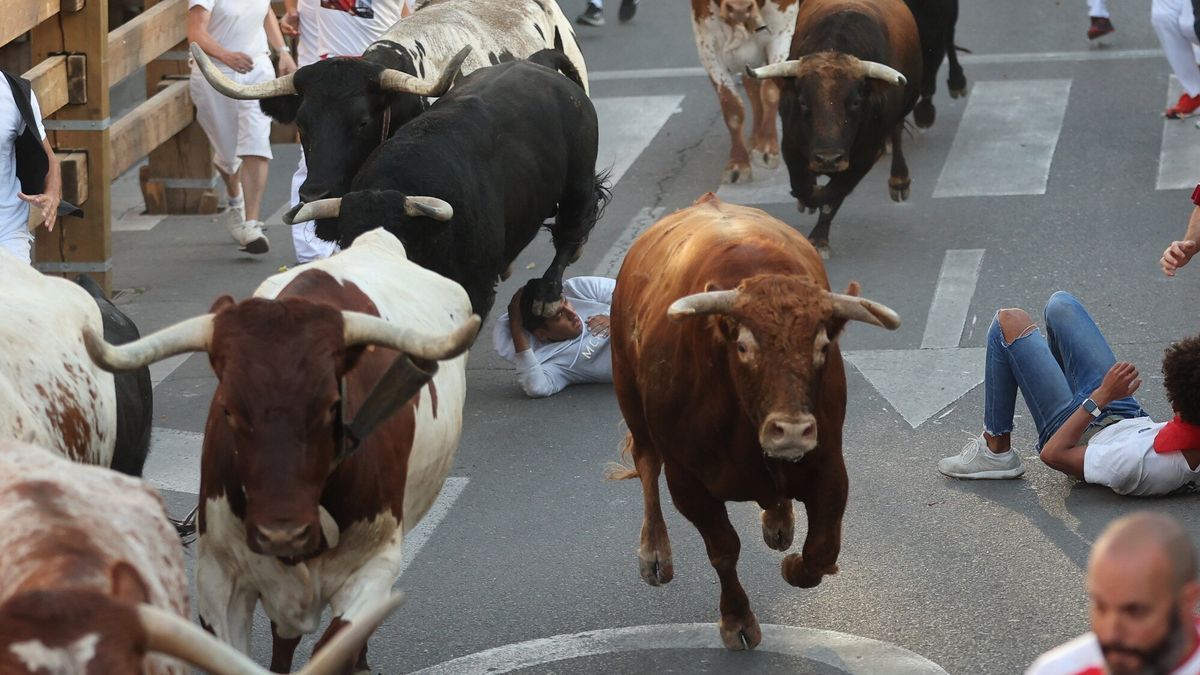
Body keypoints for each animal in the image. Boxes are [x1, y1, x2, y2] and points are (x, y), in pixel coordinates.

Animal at [609, 193, 902, 648]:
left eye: (822, 346)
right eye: (744, 346)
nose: (792, 430)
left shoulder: (830, 466)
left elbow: (821, 550)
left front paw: (796, 565)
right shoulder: (688, 483)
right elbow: (723, 549)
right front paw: (737, 619)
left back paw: (779, 522)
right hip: (627, 390)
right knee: (645, 462)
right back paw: (654, 553)